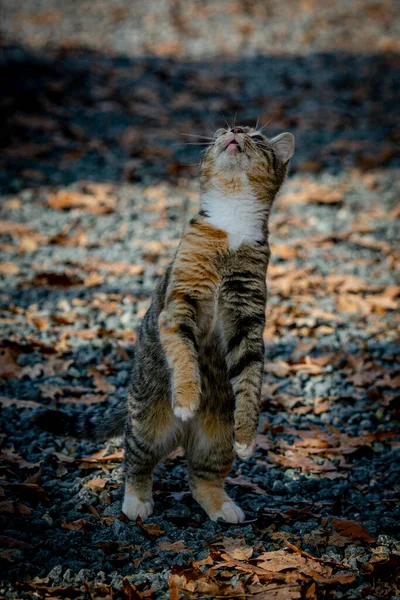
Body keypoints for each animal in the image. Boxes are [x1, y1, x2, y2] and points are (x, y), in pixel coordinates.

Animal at [34, 125, 294, 520]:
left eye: (258, 137)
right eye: (222, 130)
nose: (235, 131)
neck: (231, 222)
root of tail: (183, 435)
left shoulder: (246, 320)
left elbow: (250, 382)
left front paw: (248, 435)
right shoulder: (179, 305)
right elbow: (184, 356)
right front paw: (186, 397)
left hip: (217, 439)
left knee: (201, 477)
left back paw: (222, 505)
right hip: (147, 423)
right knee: (136, 461)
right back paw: (137, 500)